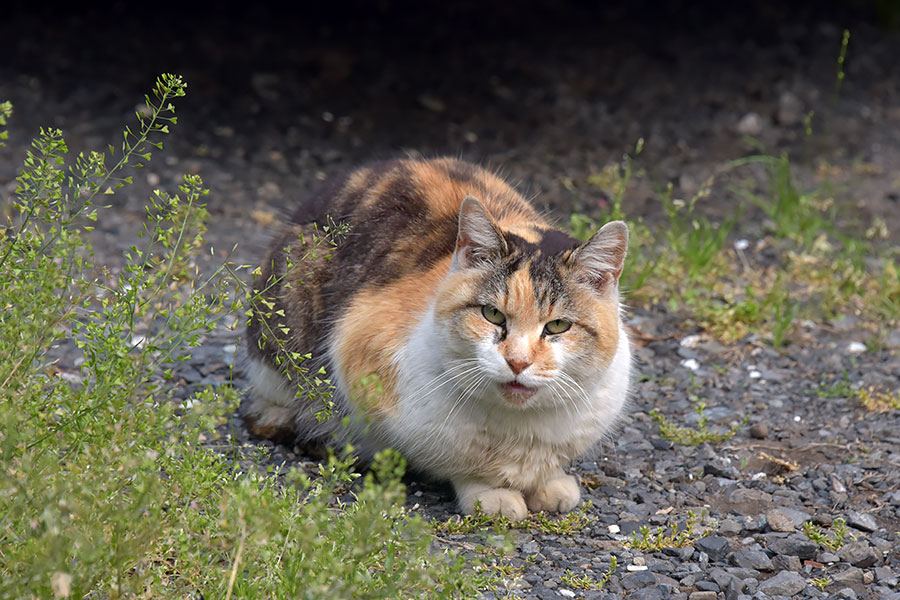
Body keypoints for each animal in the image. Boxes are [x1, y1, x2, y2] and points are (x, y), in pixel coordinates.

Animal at [243, 157, 628, 516]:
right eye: (492, 314)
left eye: (558, 326)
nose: (518, 361)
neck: (520, 429)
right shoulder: (358, 353)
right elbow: (462, 464)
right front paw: (494, 496)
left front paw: (550, 484)